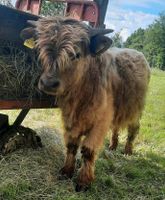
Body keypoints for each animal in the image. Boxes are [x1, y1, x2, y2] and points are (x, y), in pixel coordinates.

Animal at [20, 17, 151, 192]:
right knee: (116, 127)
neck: (79, 97)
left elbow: (88, 150)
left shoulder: (100, 122)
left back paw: (128, 150)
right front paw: (66, 171)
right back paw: (113, 146)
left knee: (133, 129)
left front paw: (84, 181)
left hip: (136, 109)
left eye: (76, 54)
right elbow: (71, 145)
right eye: (40, 49)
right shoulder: (69, 120)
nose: (48, 83)